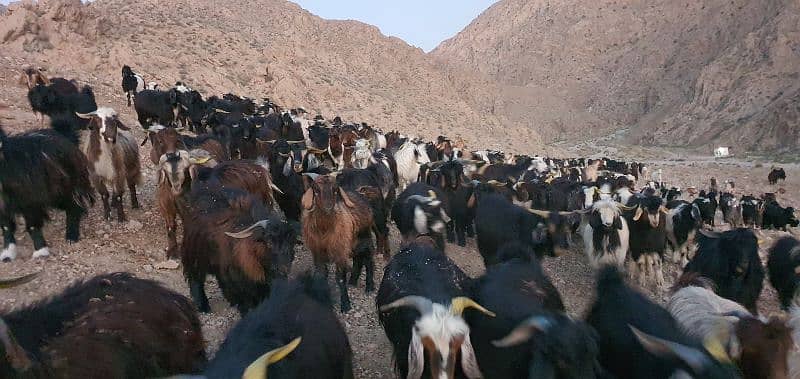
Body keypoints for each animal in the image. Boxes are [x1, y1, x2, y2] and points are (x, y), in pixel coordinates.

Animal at [0, 119, 94, 262]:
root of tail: (65, 137)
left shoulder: (29, 200)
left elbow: (32, 226)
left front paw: (40, 252)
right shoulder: (3, 205)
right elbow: (6, 227)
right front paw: (7, 254)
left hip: (62, 190)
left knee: (74, 206)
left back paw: (72, 236)